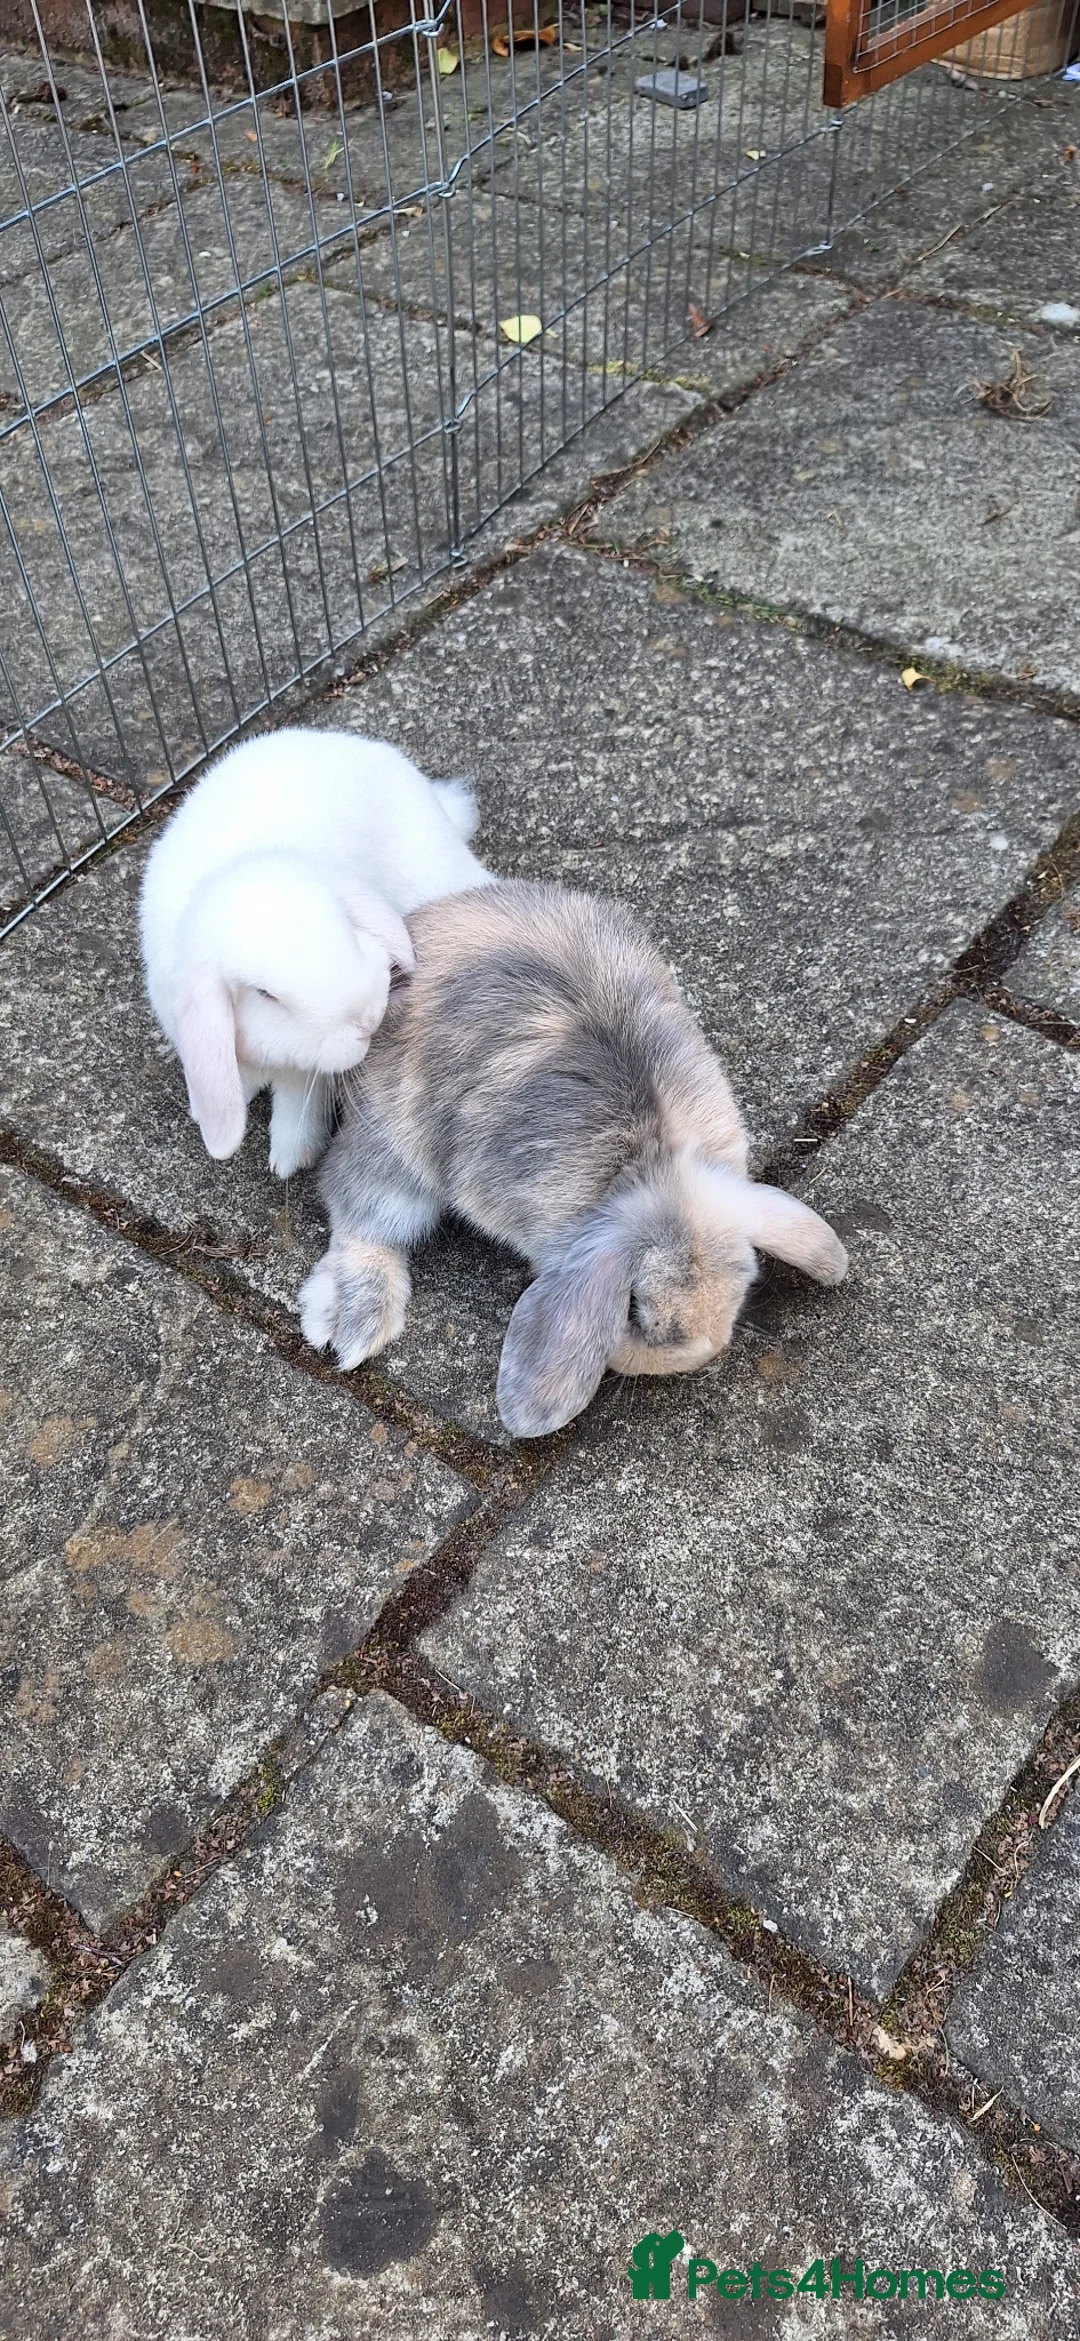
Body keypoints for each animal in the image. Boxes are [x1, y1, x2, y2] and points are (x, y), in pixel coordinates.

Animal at [139, 727, 494, 1177]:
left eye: (344, 924)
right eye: (265, 995)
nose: (367, 1019)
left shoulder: (306, 1074)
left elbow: (297, 1106)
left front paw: (289, 1160)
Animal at [300, 880, 848, 1436]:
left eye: (746, 1283)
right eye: (635, 1311)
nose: (688, 1358)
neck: (650, 1169)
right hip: (394, 1149)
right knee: (363, 1223)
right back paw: (353, 1326)